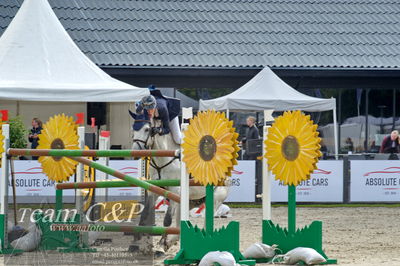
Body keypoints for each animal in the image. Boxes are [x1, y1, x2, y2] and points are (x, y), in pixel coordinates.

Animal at [129, 111, 228, 252]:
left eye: (147, 129)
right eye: (133, 129)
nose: (135, 153)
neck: (162, 161)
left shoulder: (175, 191)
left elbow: (167, 220)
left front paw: (160, 246)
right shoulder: (155, 191)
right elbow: (144, 215)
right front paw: (137, 242)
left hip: (215, 198)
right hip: (188, 201)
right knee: (180, 225)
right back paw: (171, 242)